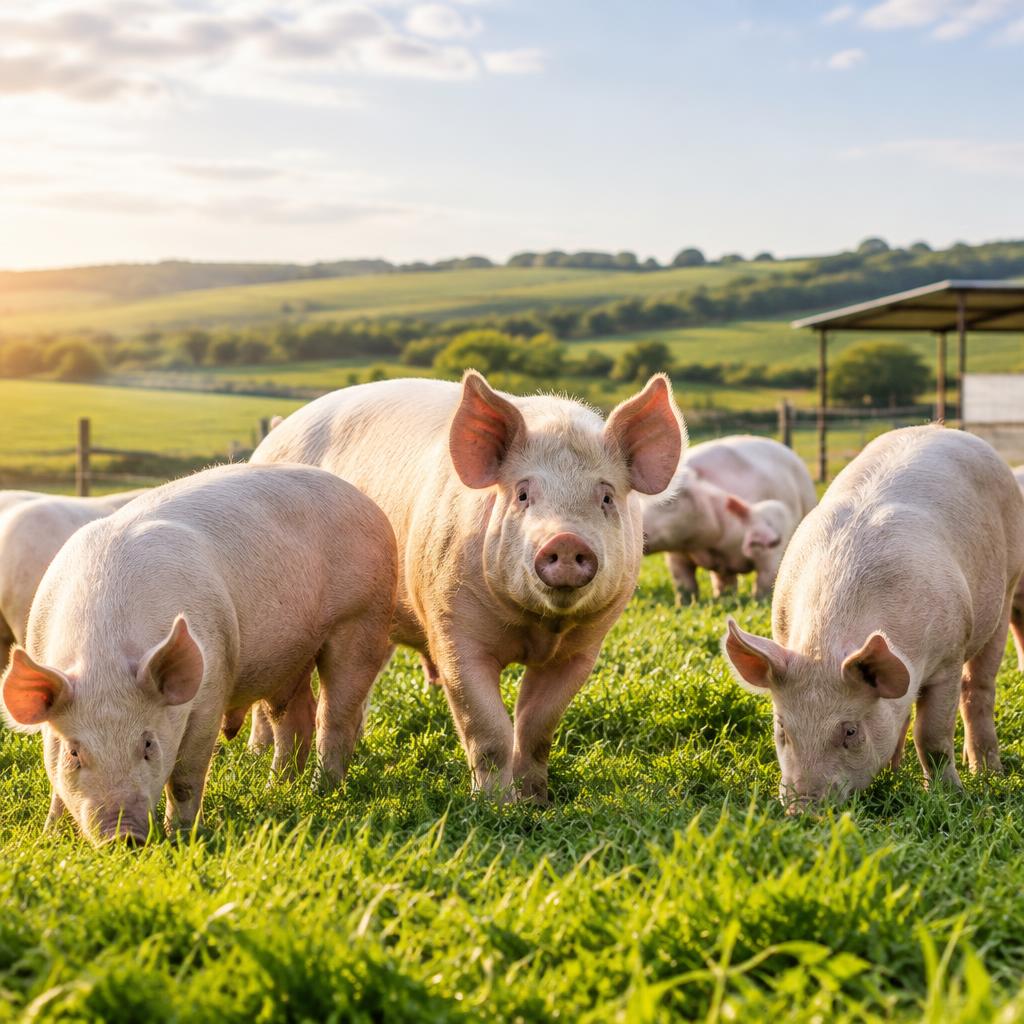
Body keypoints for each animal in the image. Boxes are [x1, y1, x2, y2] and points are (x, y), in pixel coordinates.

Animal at [251, 371, 685, 801]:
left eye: (606, 496)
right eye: (522, 493)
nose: (564, 540)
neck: (538, 627)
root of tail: (276, 433)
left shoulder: (583, 648)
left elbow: (537, 729)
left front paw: (536, 801)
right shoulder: (453, 626)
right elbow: (488, 728)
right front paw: (494, 805)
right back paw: (256, 758)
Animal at [644, 435, 817, 600]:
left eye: (670, 501)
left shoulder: (770, 552)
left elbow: (765, 582)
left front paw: (759, 600)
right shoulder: (677, 554)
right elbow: (684, 585)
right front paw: (684, 604)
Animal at [722, 425, 1024, 811]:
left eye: (850, 730)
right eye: (783, 729)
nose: (802, 809)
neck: (825, 649)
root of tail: (944, 429)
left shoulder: (948, 656)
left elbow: (932, 734)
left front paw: (949, 796)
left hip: (1006, 588)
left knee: (979, 688)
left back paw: (988, 773)